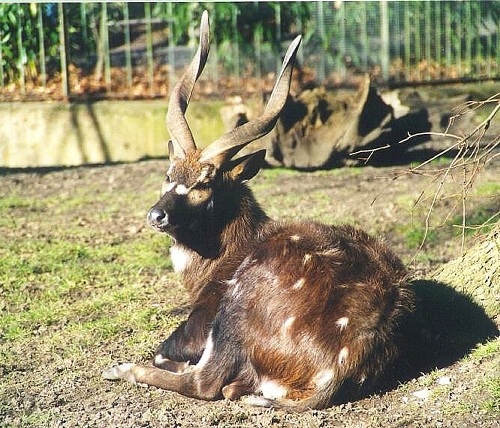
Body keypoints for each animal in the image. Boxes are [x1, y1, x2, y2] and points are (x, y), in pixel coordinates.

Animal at [102, 11, 414, 410]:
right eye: (168, 174)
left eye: (205, 183)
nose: (157, 216)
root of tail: (339, 367)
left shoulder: (202, 320)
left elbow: (165, 353)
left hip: (235, 307)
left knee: (206, 382)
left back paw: (121, 368)